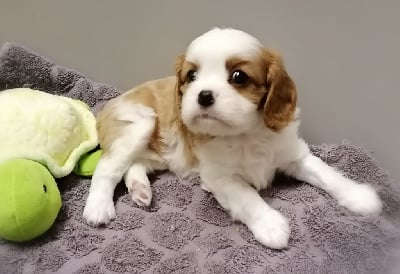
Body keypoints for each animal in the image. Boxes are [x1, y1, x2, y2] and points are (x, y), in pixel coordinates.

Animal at [83, 27, 382, 248]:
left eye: (239, 76)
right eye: (191, 75)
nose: (203, 95)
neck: (245, 134)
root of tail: (106, 107)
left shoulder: (294, 155)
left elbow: (327, 173)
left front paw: (359, 196)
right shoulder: (220, 177)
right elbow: (247, 196)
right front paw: (271, 224)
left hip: (160, 153)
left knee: (135, 165)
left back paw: (140, 190)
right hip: (140, 123)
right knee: (108, 167)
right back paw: (98, 208)